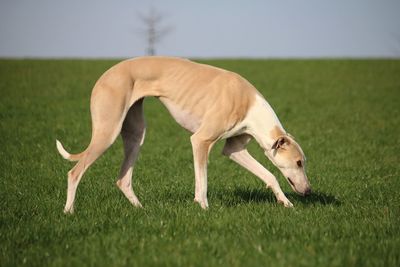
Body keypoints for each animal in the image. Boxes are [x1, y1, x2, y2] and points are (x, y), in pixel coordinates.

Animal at [57, 56, 312, 214]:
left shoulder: (234, 149)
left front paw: (286, 203)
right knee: (74, 172)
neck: (251, 105)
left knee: (123, 179)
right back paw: (69, 211)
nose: (309, 191)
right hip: (107, 131)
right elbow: (203, 180)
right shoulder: (201, 140)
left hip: (136, 135)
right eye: (299, 162)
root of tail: (104, 76)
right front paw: (204, 207)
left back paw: (140, 209)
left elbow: (269, 175)